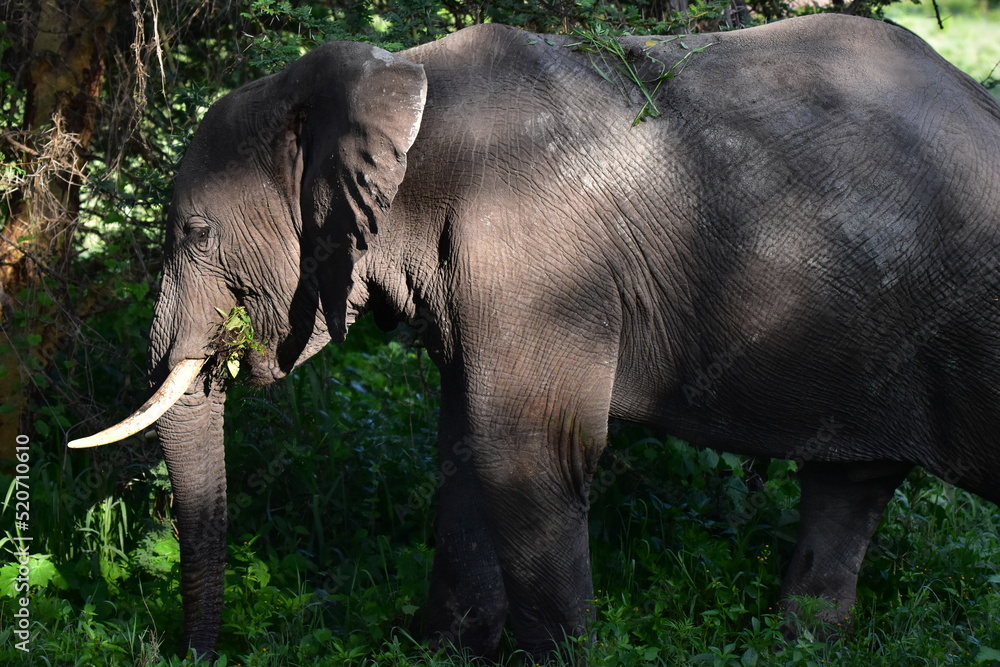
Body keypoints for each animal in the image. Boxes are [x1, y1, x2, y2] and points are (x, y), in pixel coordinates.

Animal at [69, 12, 1000, 661]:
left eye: (193, 234)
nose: (193, 654)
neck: (403, 83)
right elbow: (465, 446)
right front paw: (438, 650)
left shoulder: (535, 256)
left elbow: (528, 446)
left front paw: (563, 657)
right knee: (850, 484)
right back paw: (800, 644)